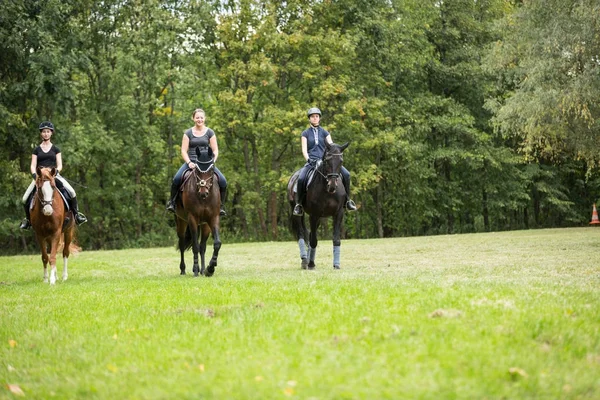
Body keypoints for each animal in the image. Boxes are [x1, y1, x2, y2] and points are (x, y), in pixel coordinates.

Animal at [176, 145, 223, 276]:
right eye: (197, 170)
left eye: (211, 170)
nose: (203, 192)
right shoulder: (192, 218)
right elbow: (195, 246)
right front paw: (196, 270)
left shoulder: (213, 218)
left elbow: (216, 243)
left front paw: (210, 268)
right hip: (181, 221)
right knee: (182, 243)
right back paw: (183, 269)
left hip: (204, 224)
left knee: (202, 246)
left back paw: (202, 270)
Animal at [288, 142, 350, 270]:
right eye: (326, 161)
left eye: (341, 161)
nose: (332, 185)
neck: (328, 191)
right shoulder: (314, 215)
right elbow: (313, 241)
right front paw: (311, 264)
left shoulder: (338, 213)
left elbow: (336, 239)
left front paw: (336, 265)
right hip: (297, 213)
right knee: (301, 235)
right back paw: (305, 261)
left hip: (319, 218)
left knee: (309, 234)